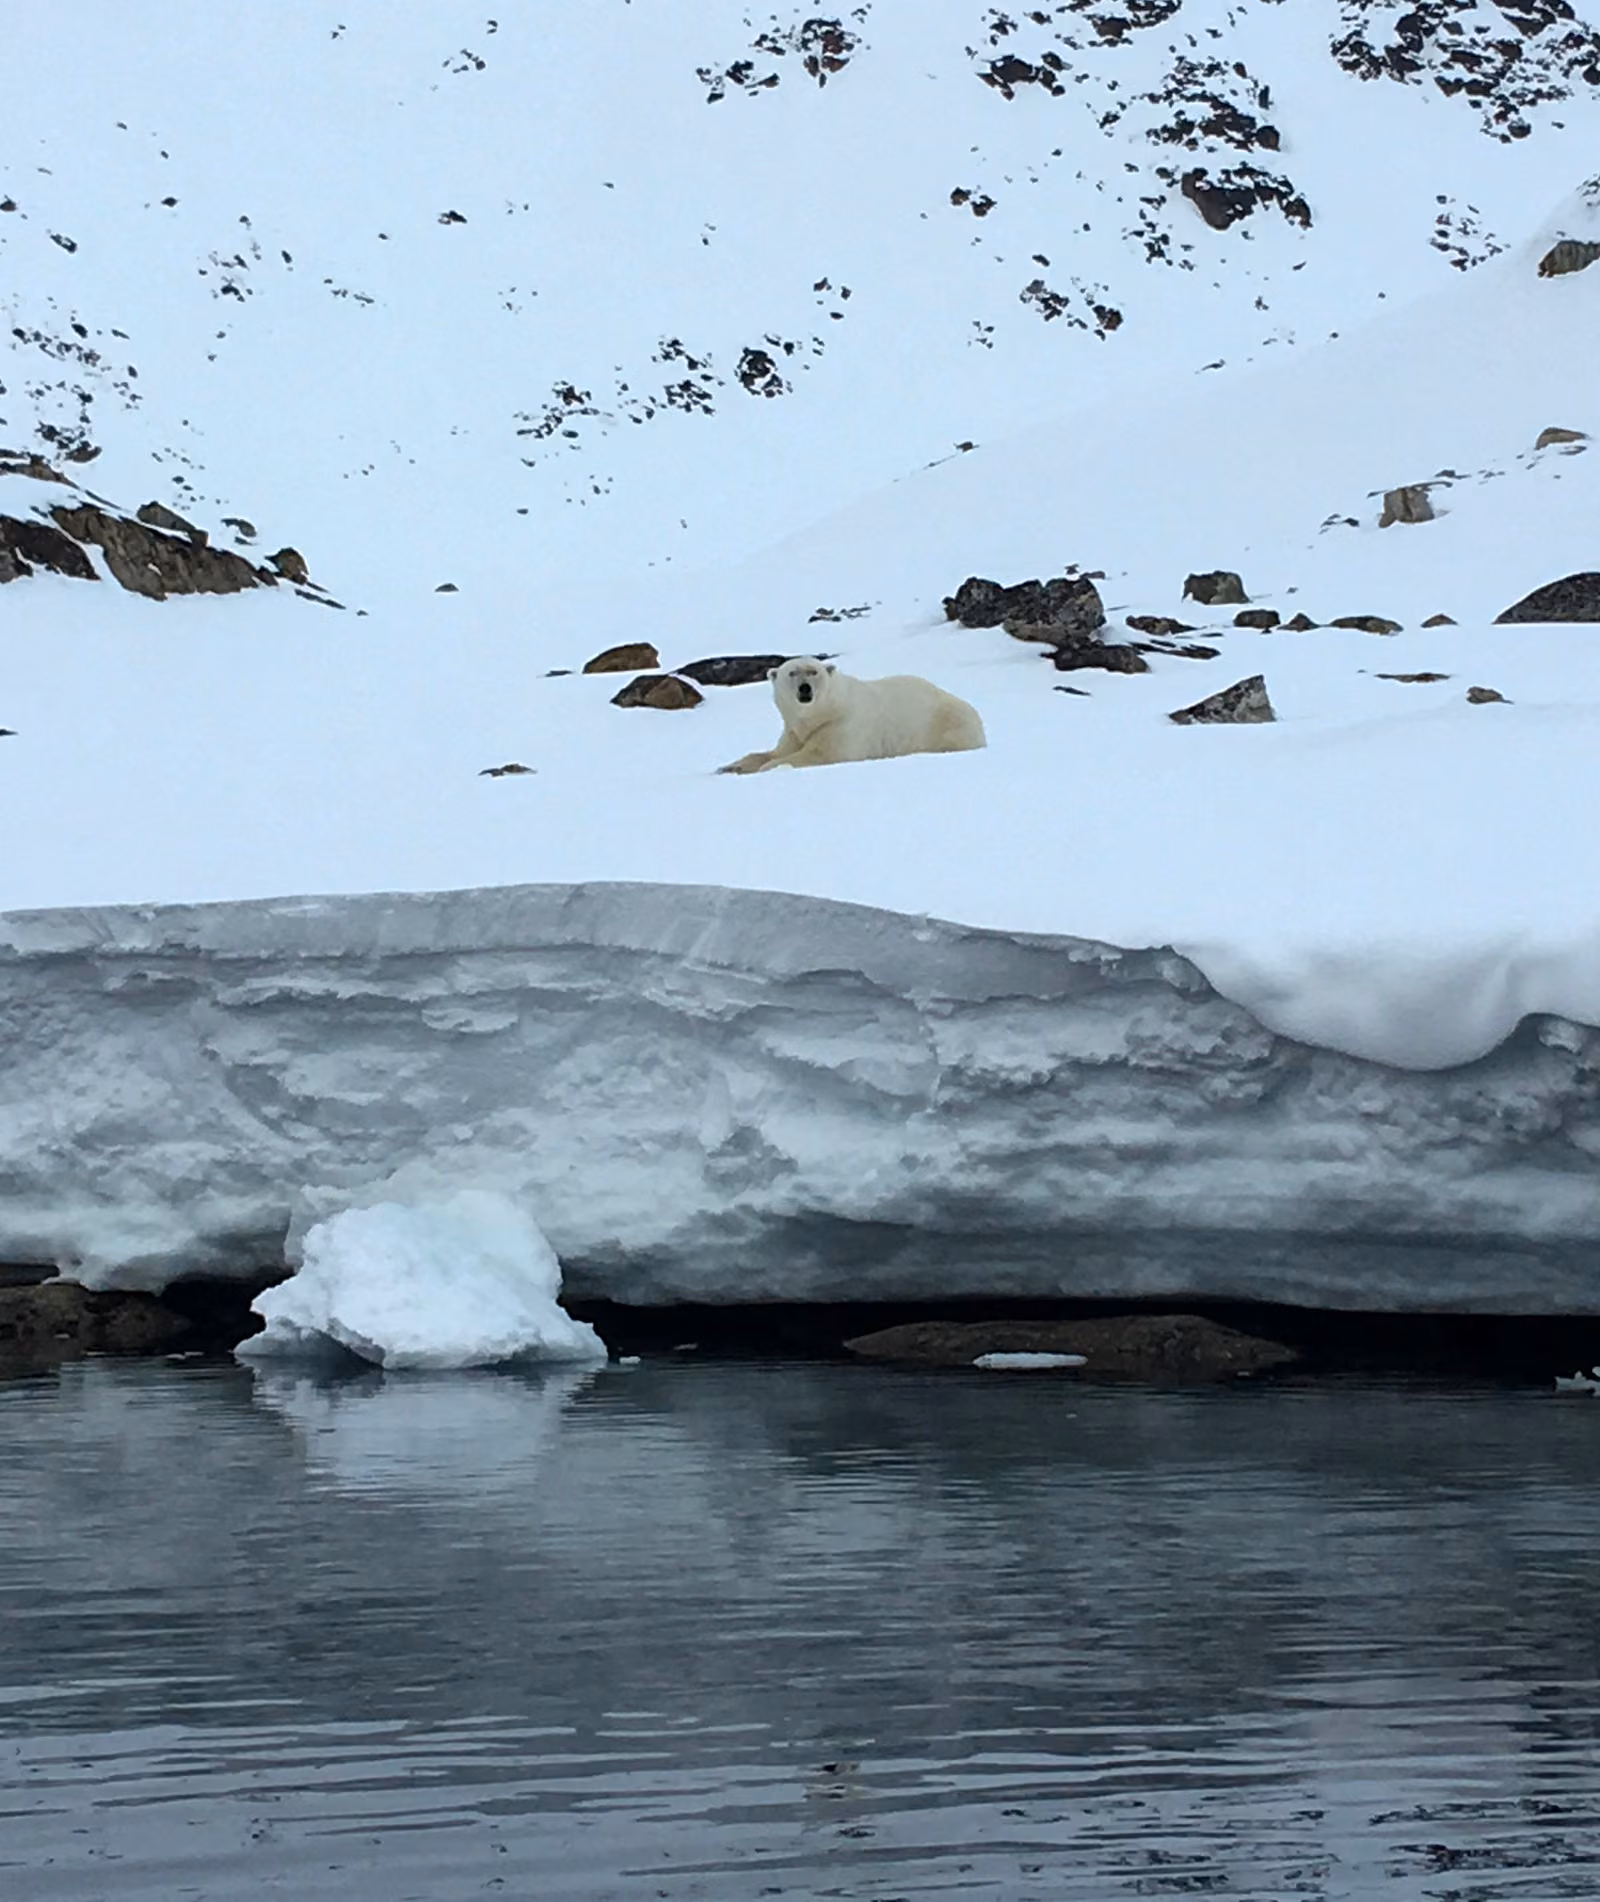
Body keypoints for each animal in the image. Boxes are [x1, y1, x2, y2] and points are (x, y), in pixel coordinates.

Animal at [717, 657, 986, 774]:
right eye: (792, 672)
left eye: (814, 671)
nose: (805, 689)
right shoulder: (793, 730)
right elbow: (775, 751)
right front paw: (730, 767)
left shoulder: (841, 724)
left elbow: (821, 753)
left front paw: (770, 768)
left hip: (947, 726)